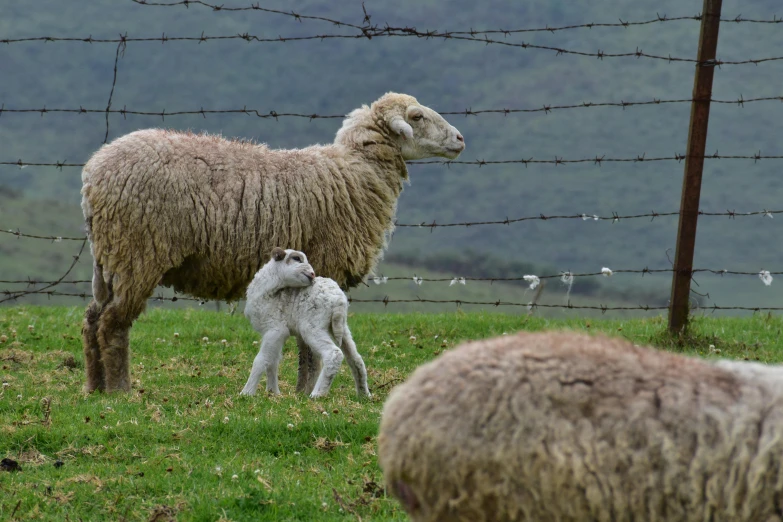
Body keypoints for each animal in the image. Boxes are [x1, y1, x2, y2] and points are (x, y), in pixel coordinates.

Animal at [240, 246, 372, 396]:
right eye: (297, 258)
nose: (313, 274)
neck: (267, 290)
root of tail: (339, 301)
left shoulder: (275, 329)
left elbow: (261, 360)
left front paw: (247, 393)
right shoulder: (277, 334)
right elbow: (273, 362)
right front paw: (273, 392)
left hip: (312, 326)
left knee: (334, 354)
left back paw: (317, 394)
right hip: (341, 327)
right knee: (356, 359)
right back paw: (363, 394)